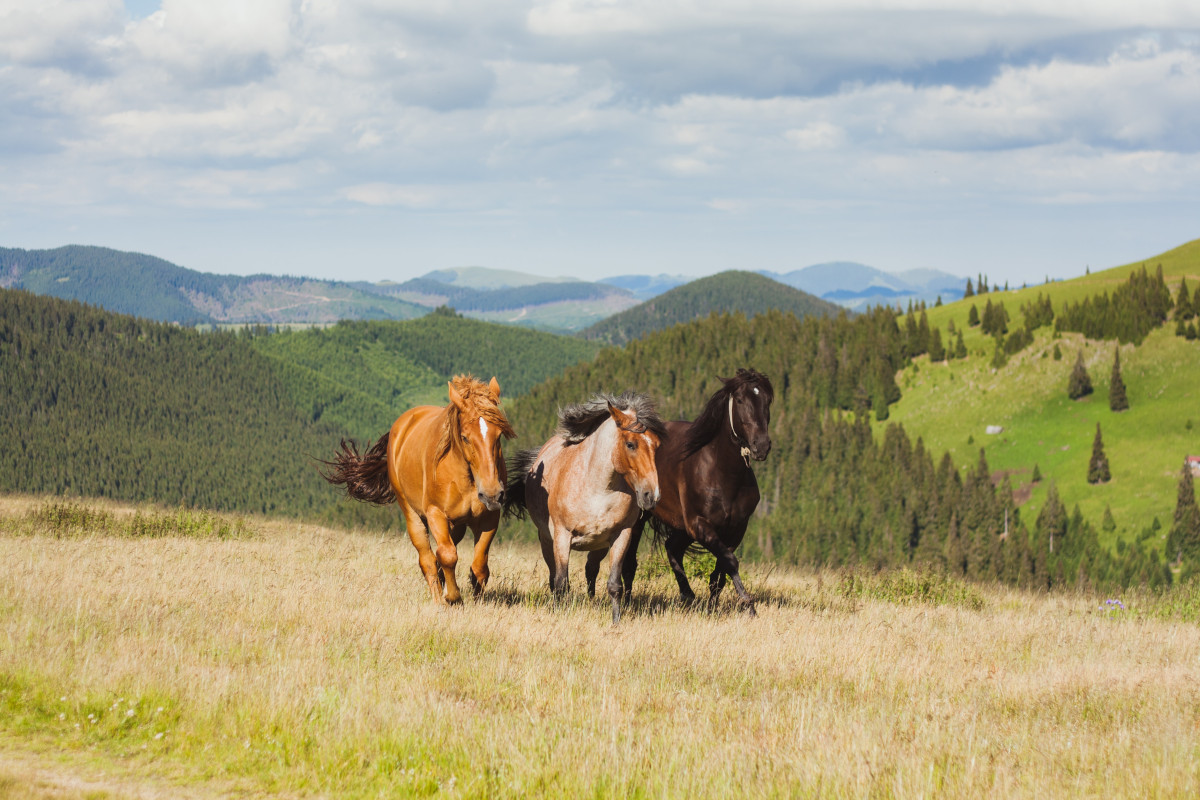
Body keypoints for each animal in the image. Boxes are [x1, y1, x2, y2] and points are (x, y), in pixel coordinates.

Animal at [324, 379, 516, 604]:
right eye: (465, 437)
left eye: (499, 435)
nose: (492, 494)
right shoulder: (435, 514)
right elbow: (447, 555)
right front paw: (453, 597)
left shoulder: (489, 518)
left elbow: (479, 566)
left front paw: (477, 599)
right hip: (412, 514)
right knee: (428, 559)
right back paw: (438, 596)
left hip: (457, 525)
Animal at [499, 393, 662, 623]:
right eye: (631, 444)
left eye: (656, 445)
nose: (651, 496)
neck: (598, 490)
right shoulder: (562, 537)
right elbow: (561, 583)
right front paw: (560, 614)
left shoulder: (622, 536)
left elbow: (615, 584)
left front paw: (616, 621)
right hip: (547, 541)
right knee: (555, 578)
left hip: (599, 546)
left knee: (590, 570)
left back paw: (591, 601)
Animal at [624, 371, 772, 618]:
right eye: (740, 400)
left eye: (768, 400)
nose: (761, 446)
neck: (722, 473)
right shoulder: (699, 524)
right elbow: (730, 562)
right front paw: (748, 604)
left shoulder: (735, 529)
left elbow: (719, 574)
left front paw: (712, 607)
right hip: (642, 518)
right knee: (630, 562)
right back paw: (626, 603)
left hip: (682, 527)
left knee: (672, 548)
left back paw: (687, 595)